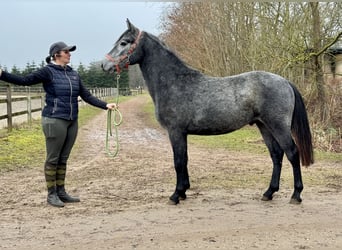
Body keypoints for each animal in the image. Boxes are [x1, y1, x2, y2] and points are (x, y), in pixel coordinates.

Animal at [101, 19, 312, 205]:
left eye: (124, 42)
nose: (104, 65)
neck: (174, 82)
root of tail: (285, 81)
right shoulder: (182, 133)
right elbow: (184, 160)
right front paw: (183, 192)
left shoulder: (175, 131)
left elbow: (178, 161)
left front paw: (176, 195)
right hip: (264, 126)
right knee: (276, 155)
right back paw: (269, 193)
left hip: (278, 126)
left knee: (292, 153)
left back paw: (296, 195)